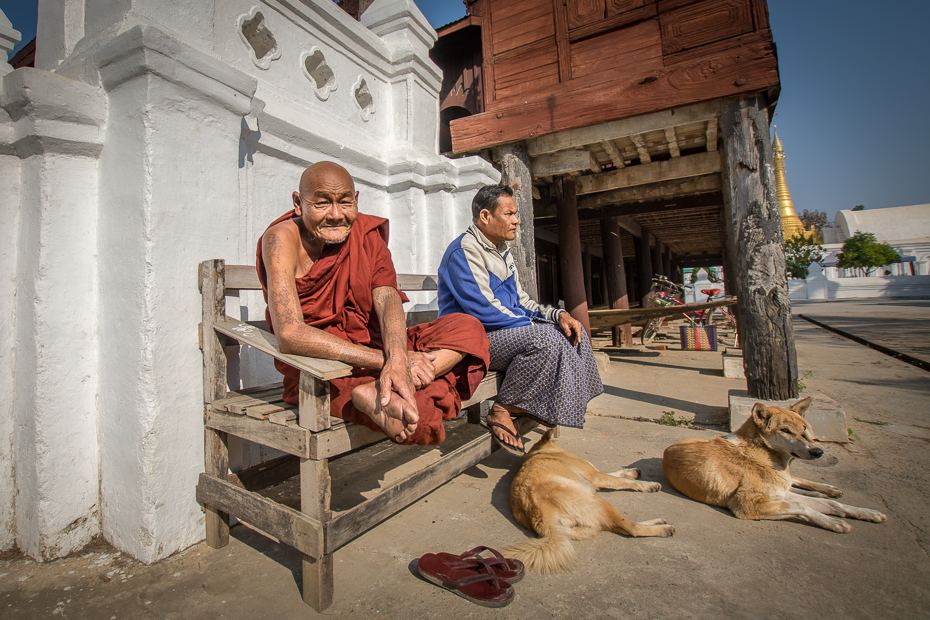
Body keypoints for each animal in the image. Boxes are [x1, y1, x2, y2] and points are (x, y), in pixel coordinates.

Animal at [500, 428, 676, 572]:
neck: (541, 453)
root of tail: (541, 519)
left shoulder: (596, 476)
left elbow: (616, 474)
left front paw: (632, 472)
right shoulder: (596, 476)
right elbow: (621, 481)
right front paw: (647, 485)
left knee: (621, 526)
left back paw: (657, 522)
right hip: (601, 504)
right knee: (631, 528)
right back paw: (663, 529)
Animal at [660, 398, 884, 532]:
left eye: (804, 428)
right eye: (785, 430)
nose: (818, 452)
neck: (760, 453)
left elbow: (829, 505)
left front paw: (868, 512)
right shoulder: (748, 504)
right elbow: (802, 505)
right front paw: (834, 521)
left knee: (796, 481)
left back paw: (827, 489)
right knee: (795, 488)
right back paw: (821, 493)